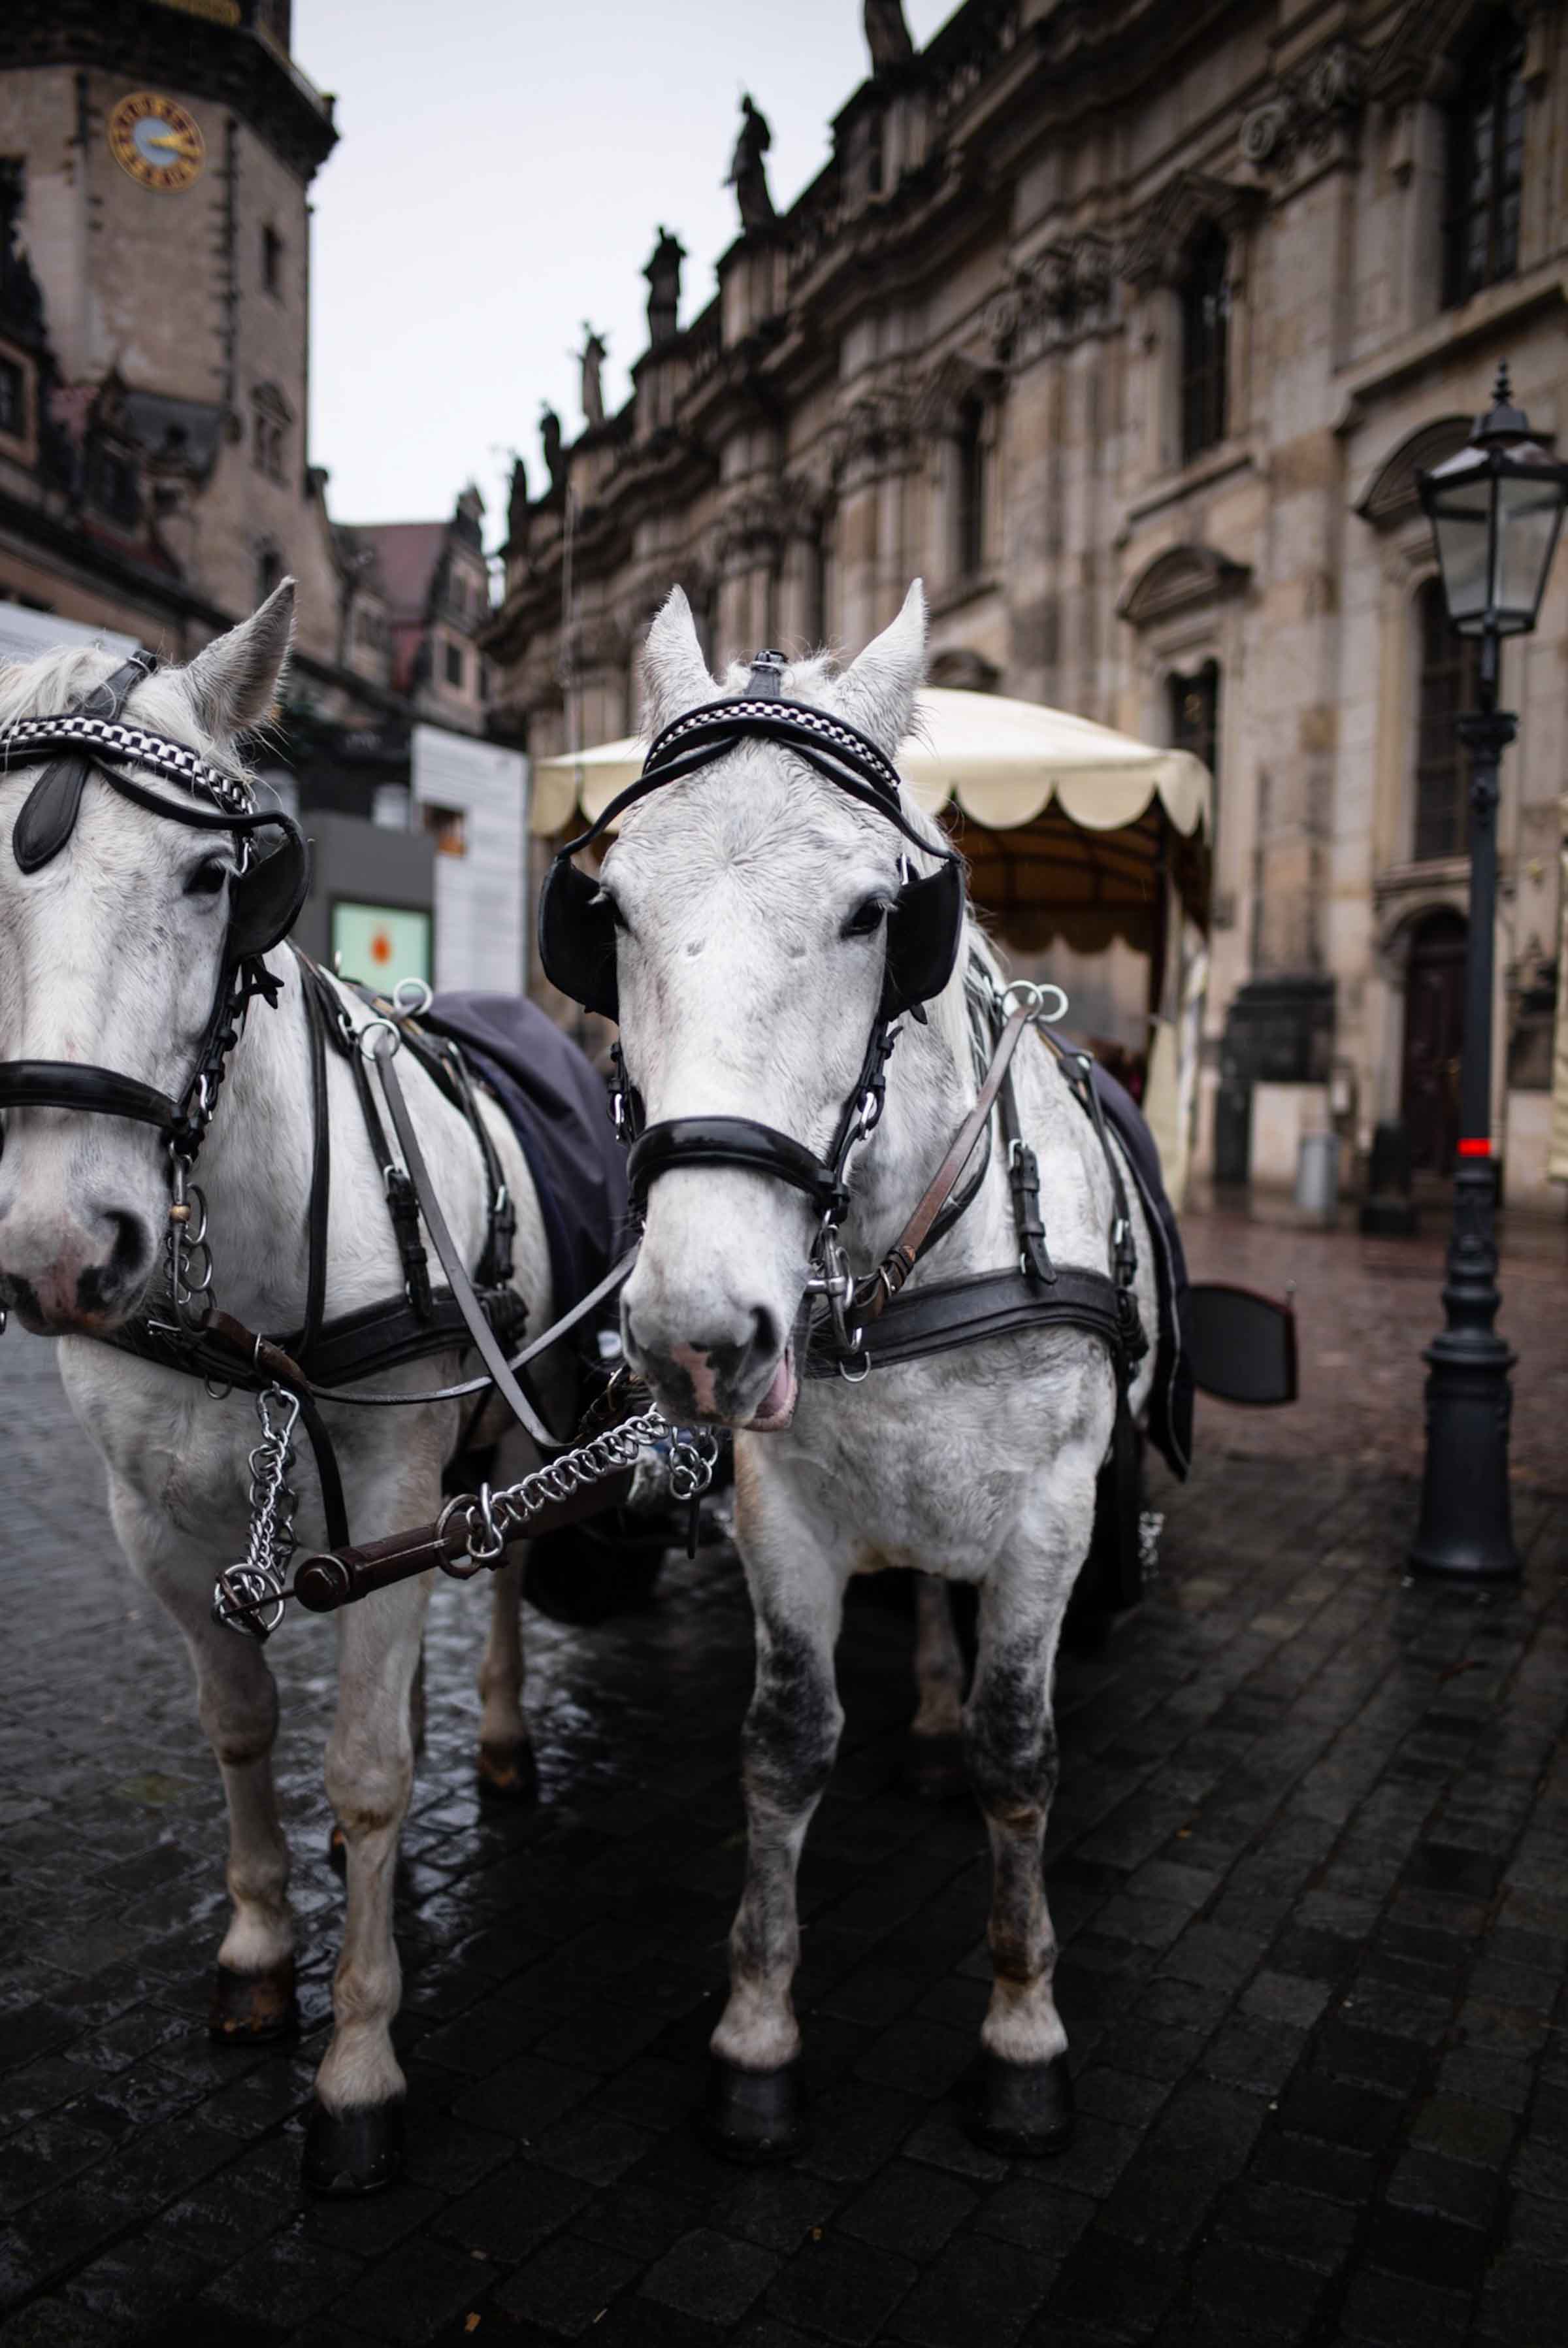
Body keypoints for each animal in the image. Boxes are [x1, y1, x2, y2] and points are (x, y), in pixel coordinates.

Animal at [0, 582, 556, 2179]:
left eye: (216, 876)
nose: (61, 1246)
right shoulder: (154, 1520)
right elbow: (242, 1725)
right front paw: (256, 1946)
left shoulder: (391, 1476)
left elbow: (363, 1769)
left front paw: (359, 2060)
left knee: (500, 1572)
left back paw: (497, 1737)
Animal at [605, 577, 1159, 2151]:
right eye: (608, 906)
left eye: (877, 915)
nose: (698, 1329)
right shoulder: (781, 1503)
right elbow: (786, 1741)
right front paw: (757, 2030)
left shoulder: (1053, 1512)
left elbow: (1019, 1751)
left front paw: (1025, 2026)